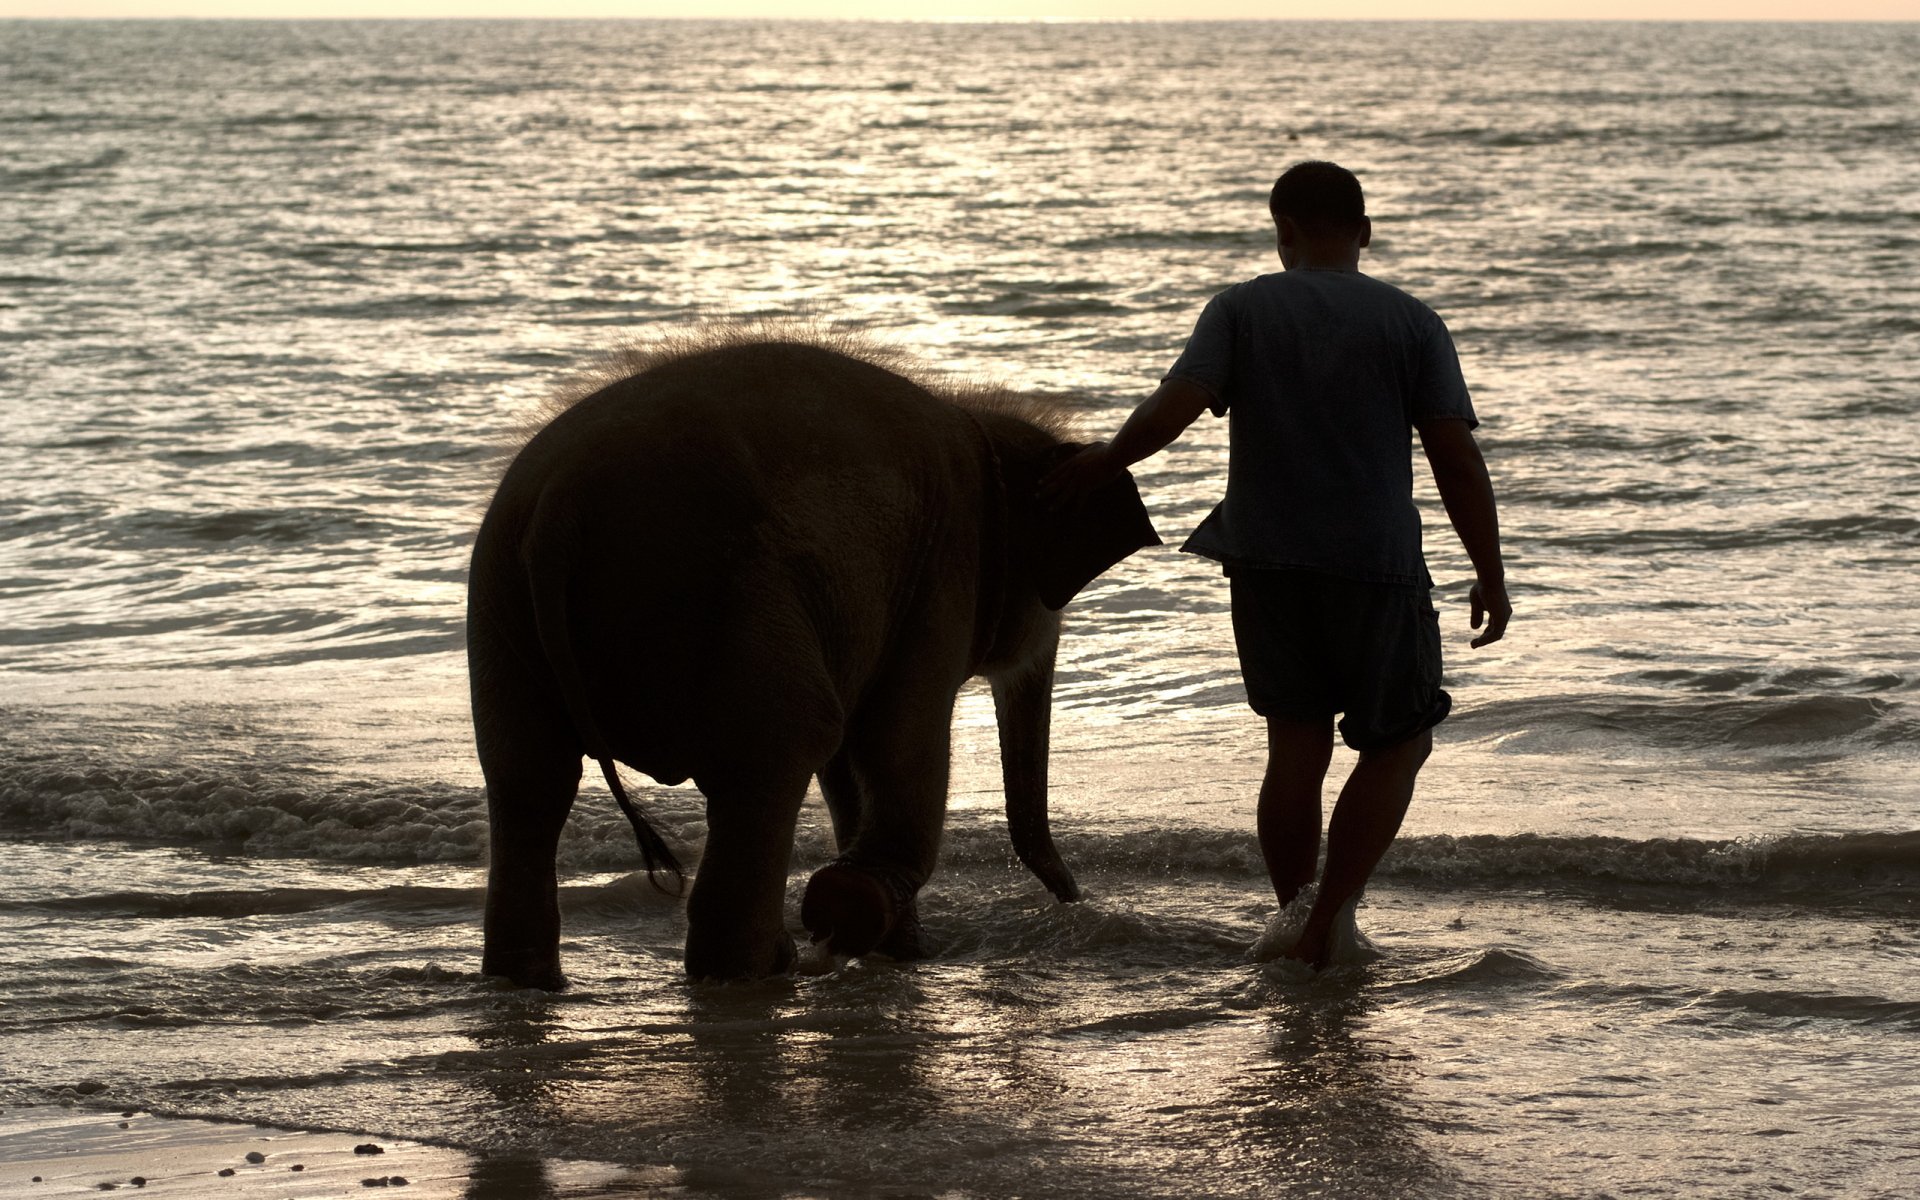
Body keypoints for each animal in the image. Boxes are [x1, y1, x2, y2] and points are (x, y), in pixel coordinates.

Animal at [468, 333, 1159, 986]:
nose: (1071, 899)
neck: (983, 427)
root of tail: (560, 506)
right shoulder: (942, 574)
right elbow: (894, 737)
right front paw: (861, 915)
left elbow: (850, 762)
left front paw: (897, 949)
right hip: (739, 600)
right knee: (780, 750)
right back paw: (760, 971)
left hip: (502, 609)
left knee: (527, 775)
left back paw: (532, 980)